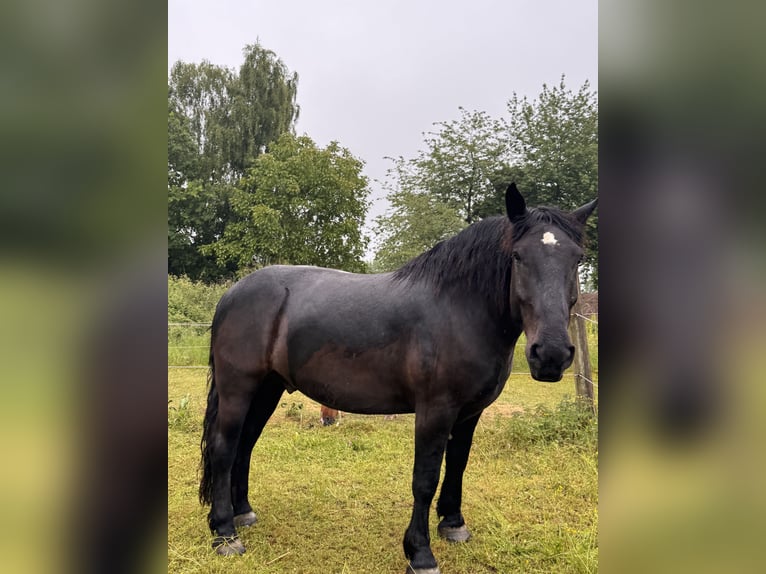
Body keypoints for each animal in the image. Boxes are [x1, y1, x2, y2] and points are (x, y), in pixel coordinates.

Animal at [199, 183, 597, 573]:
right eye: (517, 256)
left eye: (577, 259)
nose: (551, 354)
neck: (458, 310)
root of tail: (232, 294)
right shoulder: (435, 411)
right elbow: (425, 478)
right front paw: (420, 553)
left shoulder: (470, 412)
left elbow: (458, 463)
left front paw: (453, 524)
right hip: (238, 389)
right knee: (223, 448)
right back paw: (225, 534)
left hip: (267, 389)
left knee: (245, 444)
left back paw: (243, 513)